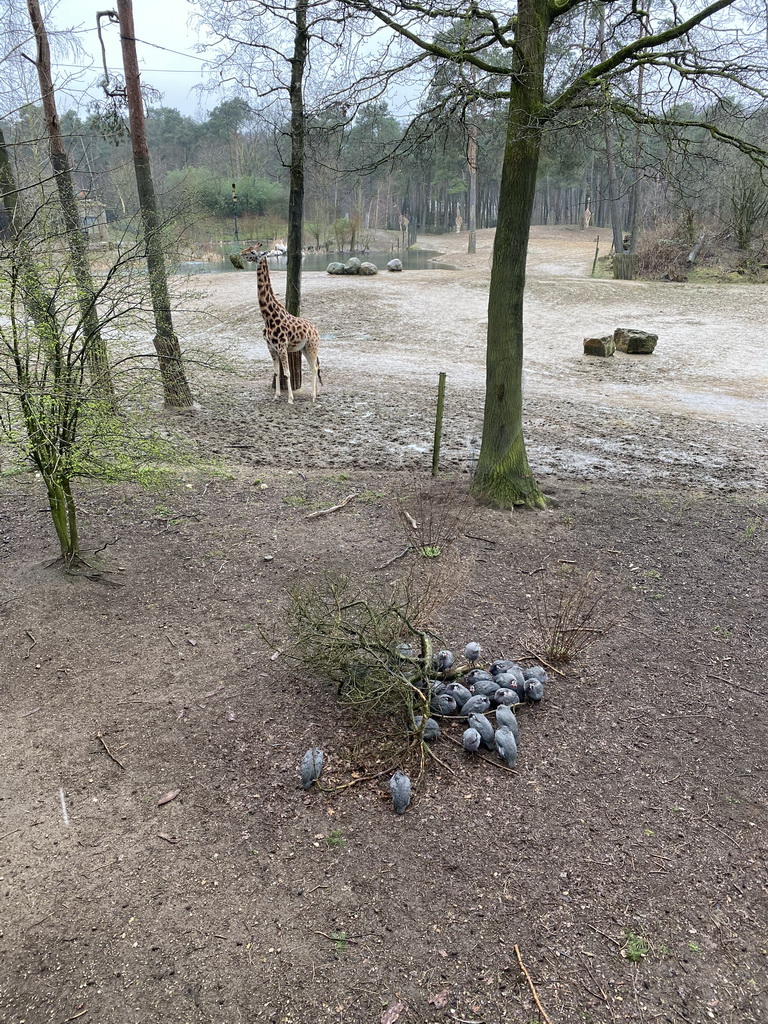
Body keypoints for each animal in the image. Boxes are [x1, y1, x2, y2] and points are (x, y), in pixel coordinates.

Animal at [241, 245, 323, 405]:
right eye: (248, 248)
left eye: (253, 252)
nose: (241, 253)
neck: (268, 317)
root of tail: (316, 330)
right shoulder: (271, 348)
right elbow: (276, 372)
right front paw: (277, 395)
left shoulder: (282, 347)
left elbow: (287, 373)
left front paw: (290, 399)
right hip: (304, 348)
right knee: (313, 367)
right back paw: (315, 394)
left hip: (312, 346)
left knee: (315, 368)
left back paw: (313, 396)